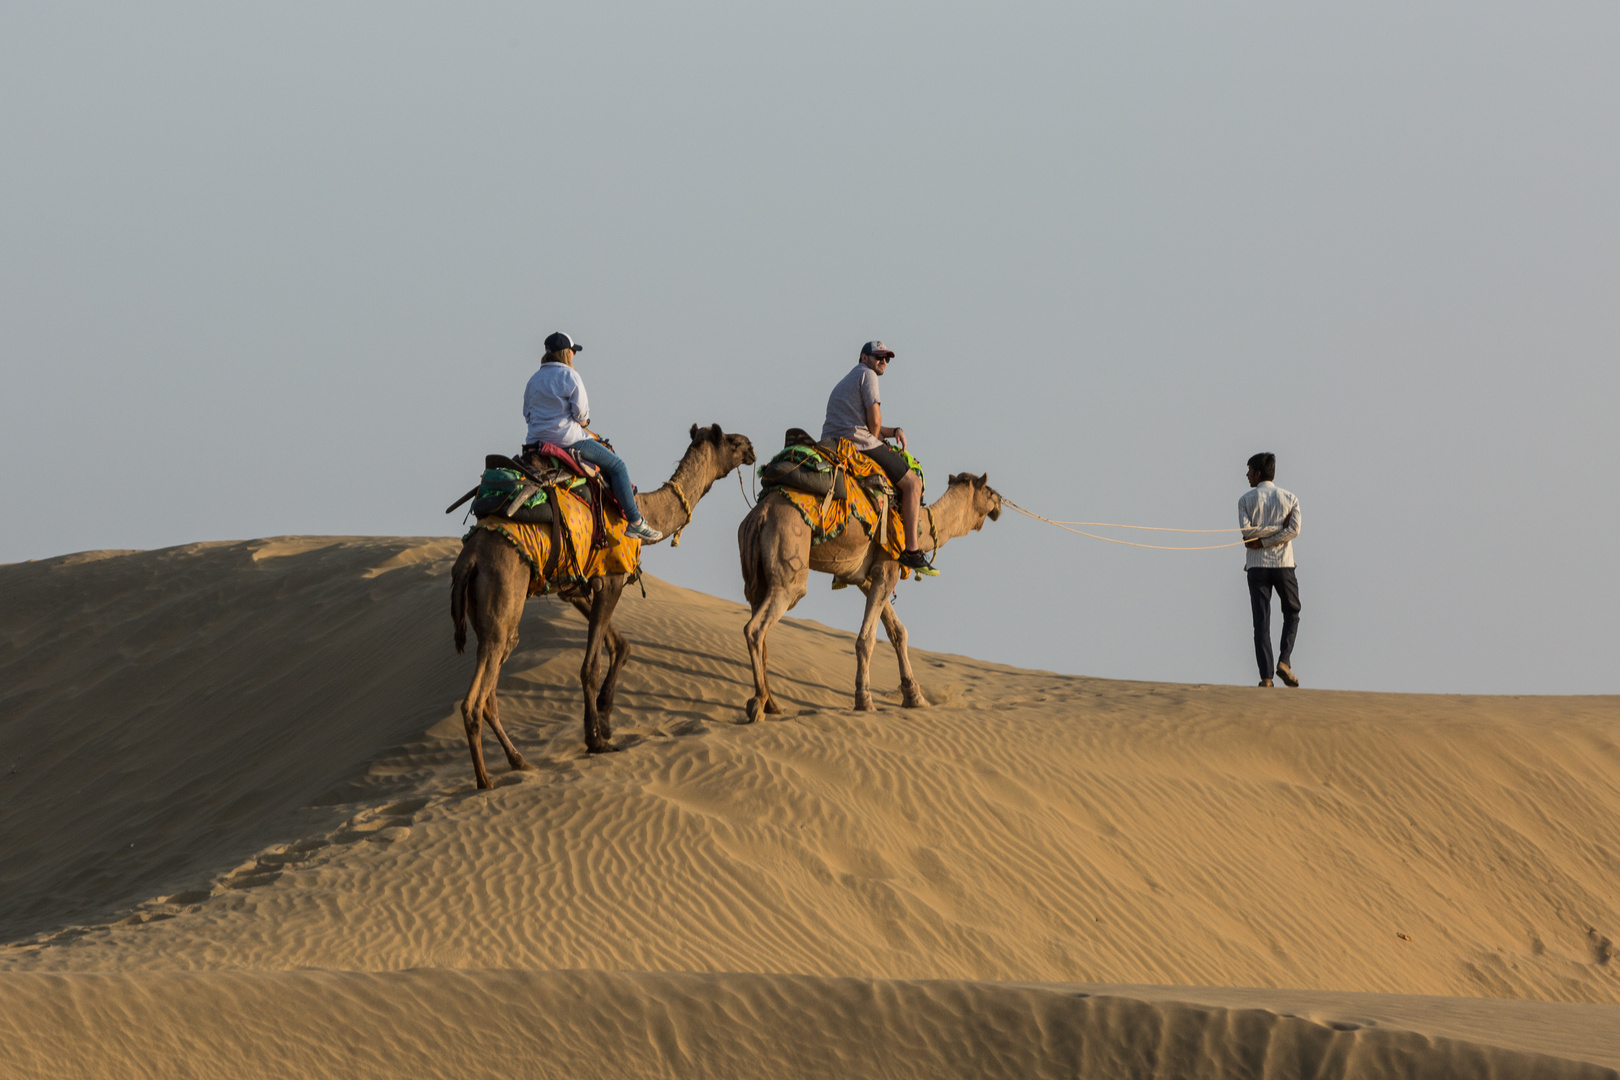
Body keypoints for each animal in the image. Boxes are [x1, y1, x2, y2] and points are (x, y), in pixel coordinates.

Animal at [447, 420, 754, 786]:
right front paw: (596, 740)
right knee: (474, 698)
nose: (751, 447)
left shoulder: (577, 585)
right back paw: (484, 780)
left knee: (491, 687)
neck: (644, 508)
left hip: (488, 612)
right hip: (503, 596)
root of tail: (471, 558)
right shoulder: (612, 578)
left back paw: (519, 761)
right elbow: (589, 666)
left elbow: (620, 645)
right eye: (732, 441)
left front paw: (605, 722)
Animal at [741, 469, 997, 718]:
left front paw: (915, 698)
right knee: (757, 627)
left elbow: (897, 632)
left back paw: (772, 705)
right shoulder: (887, 568)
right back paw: (759, 704)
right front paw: (864, 701)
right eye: (989, 490)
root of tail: (760, 515)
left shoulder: (865, 577)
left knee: (760, 624)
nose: (998, 506)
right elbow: (866, 639)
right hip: (789, 565)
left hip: (756, 575)